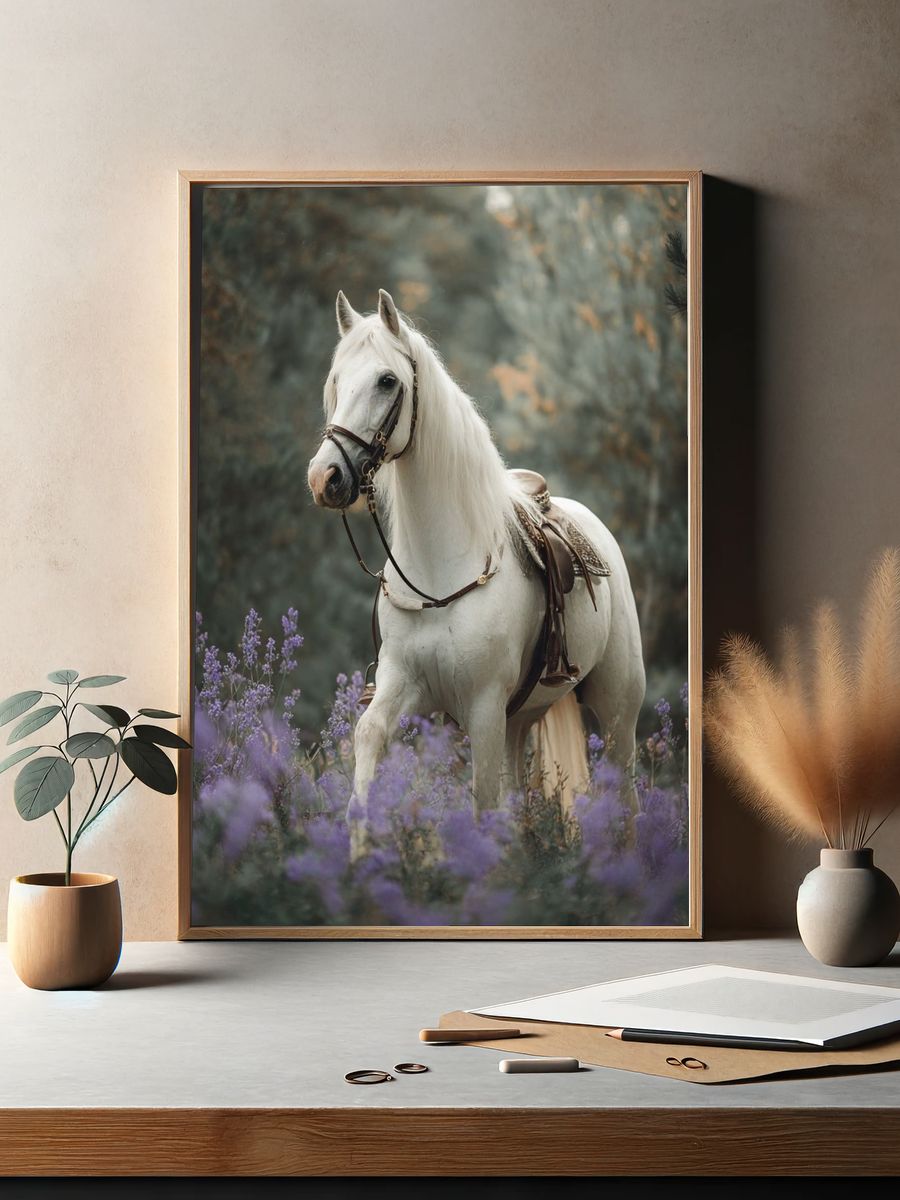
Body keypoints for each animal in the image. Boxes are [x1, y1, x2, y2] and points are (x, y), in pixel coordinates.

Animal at [307, 289, 645, 858]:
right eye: (336, 379)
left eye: (387, 381)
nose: (324, 477)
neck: (439, 574)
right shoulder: (405, 686)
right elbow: (368, 748)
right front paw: (359, 860)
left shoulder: (483, 706)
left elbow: (483, 806)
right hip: (520, 717)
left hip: (616, 711)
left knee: (626, 797)